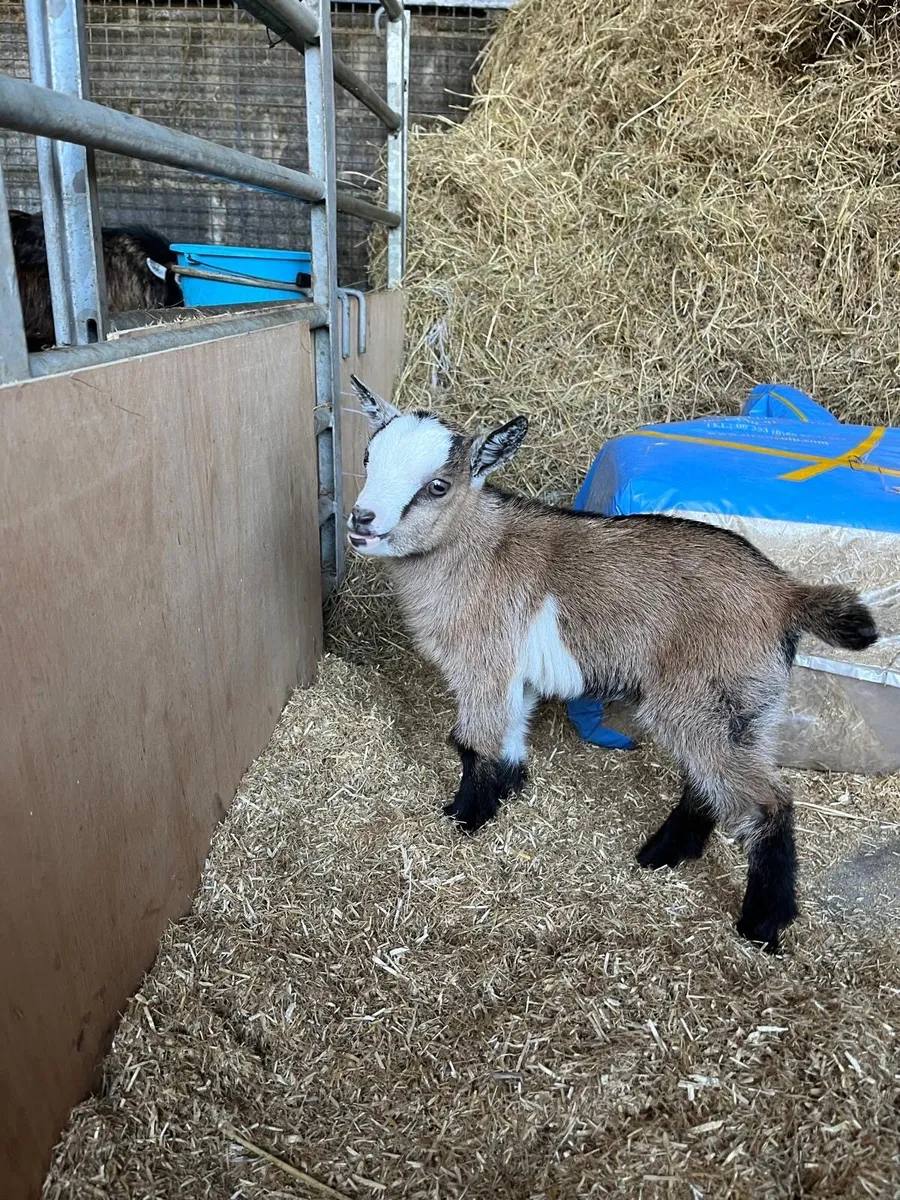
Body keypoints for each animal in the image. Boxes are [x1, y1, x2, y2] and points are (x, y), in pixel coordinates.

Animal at [345, 374, 879, 952]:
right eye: (368, 456)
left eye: (438, 486)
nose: (361, 520)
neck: (478, 549)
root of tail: (785, 593)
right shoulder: (514, 674)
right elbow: (511, 734)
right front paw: (504, 792)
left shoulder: (484, 663)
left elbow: (471, 743)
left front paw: (465, 819)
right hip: (743, 705)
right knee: (710, 779)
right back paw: (665, 854)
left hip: (702, 697)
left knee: (767, 800)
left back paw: (762, 922)